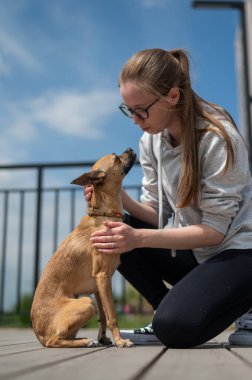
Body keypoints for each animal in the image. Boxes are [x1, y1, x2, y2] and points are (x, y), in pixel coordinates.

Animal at [30, 148, 137, 348]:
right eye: (116, 158)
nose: (130, 149)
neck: (105, 213)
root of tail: (39, 335)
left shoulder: (98, 287)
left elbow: (104, 316)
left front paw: (104, 338)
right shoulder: (103, 278)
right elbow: (112, 315)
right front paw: (120, 341)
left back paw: (84, 340)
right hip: (86, 303)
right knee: (54, 340)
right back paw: (86, 341)